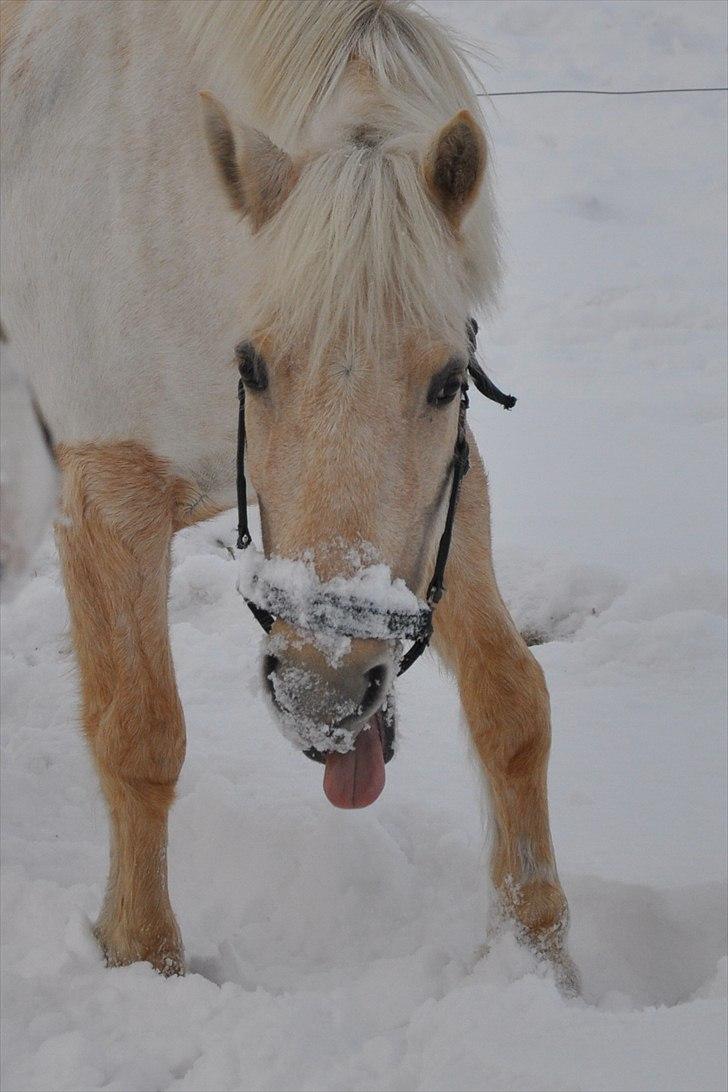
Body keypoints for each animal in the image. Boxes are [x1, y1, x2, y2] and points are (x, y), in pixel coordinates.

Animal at [1, 0, 576, 991]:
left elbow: (512, 702)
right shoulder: (108, 495)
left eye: (446, 380)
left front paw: (541, 963)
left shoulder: (449, 495)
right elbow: (139, 737)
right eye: (254, 367)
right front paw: (143, 959)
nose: (323, 692)